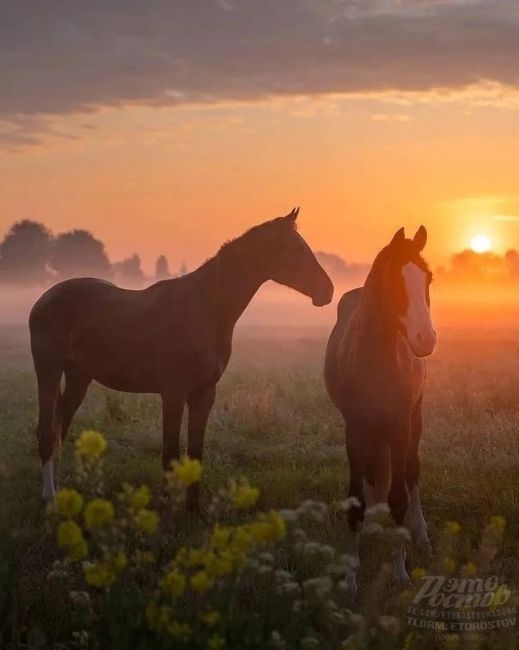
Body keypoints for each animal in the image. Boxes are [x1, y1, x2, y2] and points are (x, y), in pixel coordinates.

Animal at [31, 208, 334, 506]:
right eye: (297, 249)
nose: (327, 290)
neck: (203, 308)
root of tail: (44, 298)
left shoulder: (204, 393)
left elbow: (195, 452)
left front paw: (193, 509)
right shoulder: (173, 393)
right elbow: (170, 452)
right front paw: (167, 507)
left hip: (78, 376)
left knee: (60, 429)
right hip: (48, 369)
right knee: (47, 433)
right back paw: (50, 498)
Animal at [328, 225, 436, 588]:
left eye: (428, 278)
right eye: (395, 280)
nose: (426, 339)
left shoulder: (400, 427)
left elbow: (399, 496)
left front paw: (401, 572)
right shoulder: (356, 430)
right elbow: (356, 499)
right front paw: (350, 576)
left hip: (414, 420)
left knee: (411, 473)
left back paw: (421, 535)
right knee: (375, 471)